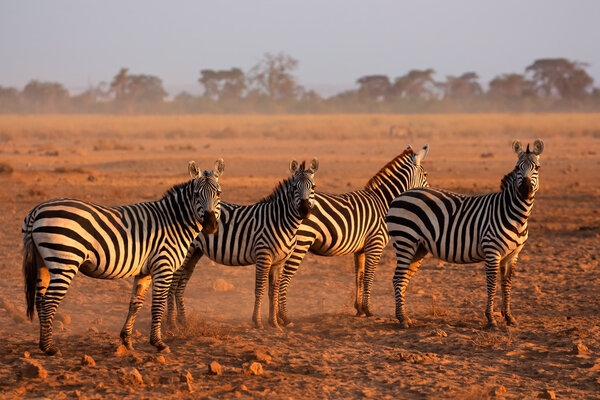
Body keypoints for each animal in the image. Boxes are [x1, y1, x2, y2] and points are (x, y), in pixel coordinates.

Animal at [21, 158, 225, 354]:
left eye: (219, 194)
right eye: (197, 194)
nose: (211, 226)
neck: (174, 222)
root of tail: (36, 210)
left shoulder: (145, 271)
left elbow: (135, 304)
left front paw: (126, 340)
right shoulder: (163, 266)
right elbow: (157, 306)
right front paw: (158, 343)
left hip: (43, 262)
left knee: (40, 301)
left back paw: (43, 343)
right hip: (64, 261)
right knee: (49, 302)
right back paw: (49, 348)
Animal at [168, 158, 318, 330]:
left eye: (313, 187)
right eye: (294, 188)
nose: (305, 211)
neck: (280, 221)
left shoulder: (278, 262)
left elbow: (273, 291)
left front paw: (274, 323)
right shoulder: (263, 256)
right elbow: (260, 289)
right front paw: (257, 321)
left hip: (194, 253)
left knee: (180, 286)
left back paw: (183, 322)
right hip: (185, 252)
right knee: (173, 285)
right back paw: (171, 323)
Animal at [274, 145, 428, 326]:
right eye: (426, 174)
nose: (428, 193)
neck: (383, 202)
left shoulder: (360, 249)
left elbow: (359, 277)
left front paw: (359, 309)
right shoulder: (375, 243)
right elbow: (368, 276)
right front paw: (368, 310)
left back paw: (276, 316)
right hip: (301, 242)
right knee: (283, 278)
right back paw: (284, 317)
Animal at [384, 140, 544, 328]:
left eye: (537, 168)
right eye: (518, 167)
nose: (525, 190)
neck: (514, 214)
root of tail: (400, 195)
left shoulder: (512, 255)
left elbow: (507, 284)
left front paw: (509, 317)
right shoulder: (492, 252)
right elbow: (492, 285)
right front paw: (491, 319)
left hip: (418, 248)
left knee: (403, 279)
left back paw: (404, 316)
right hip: (405, 241)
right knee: (398, 278)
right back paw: (402, 319)